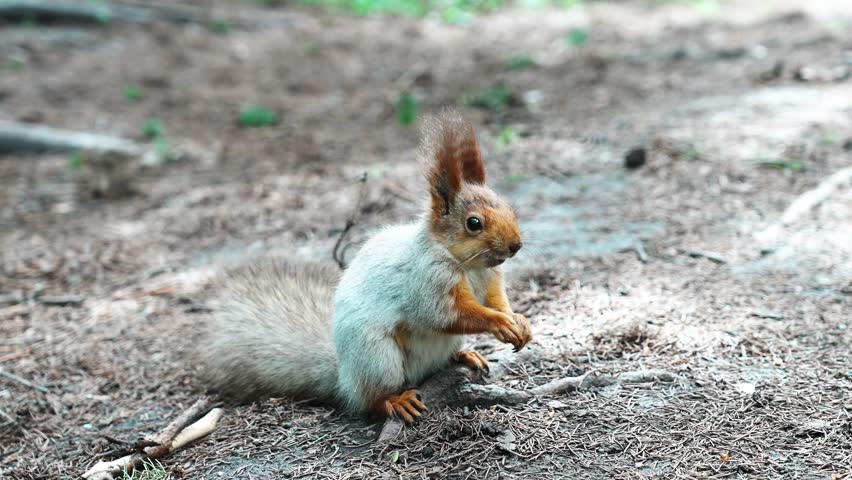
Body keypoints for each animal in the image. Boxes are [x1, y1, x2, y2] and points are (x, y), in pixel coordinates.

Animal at [200, 110, 532, 423]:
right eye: (473, 223)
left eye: (508, 207)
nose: (516, 245)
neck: (468, 265)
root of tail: (344, 378)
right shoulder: (427, 282)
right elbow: (447, 314)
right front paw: (499, 322)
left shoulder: (491, 278)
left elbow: (496, 300)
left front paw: (518, 320)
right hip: (377, 357)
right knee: (371, 400)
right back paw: (394, 401)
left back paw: (466, 355)